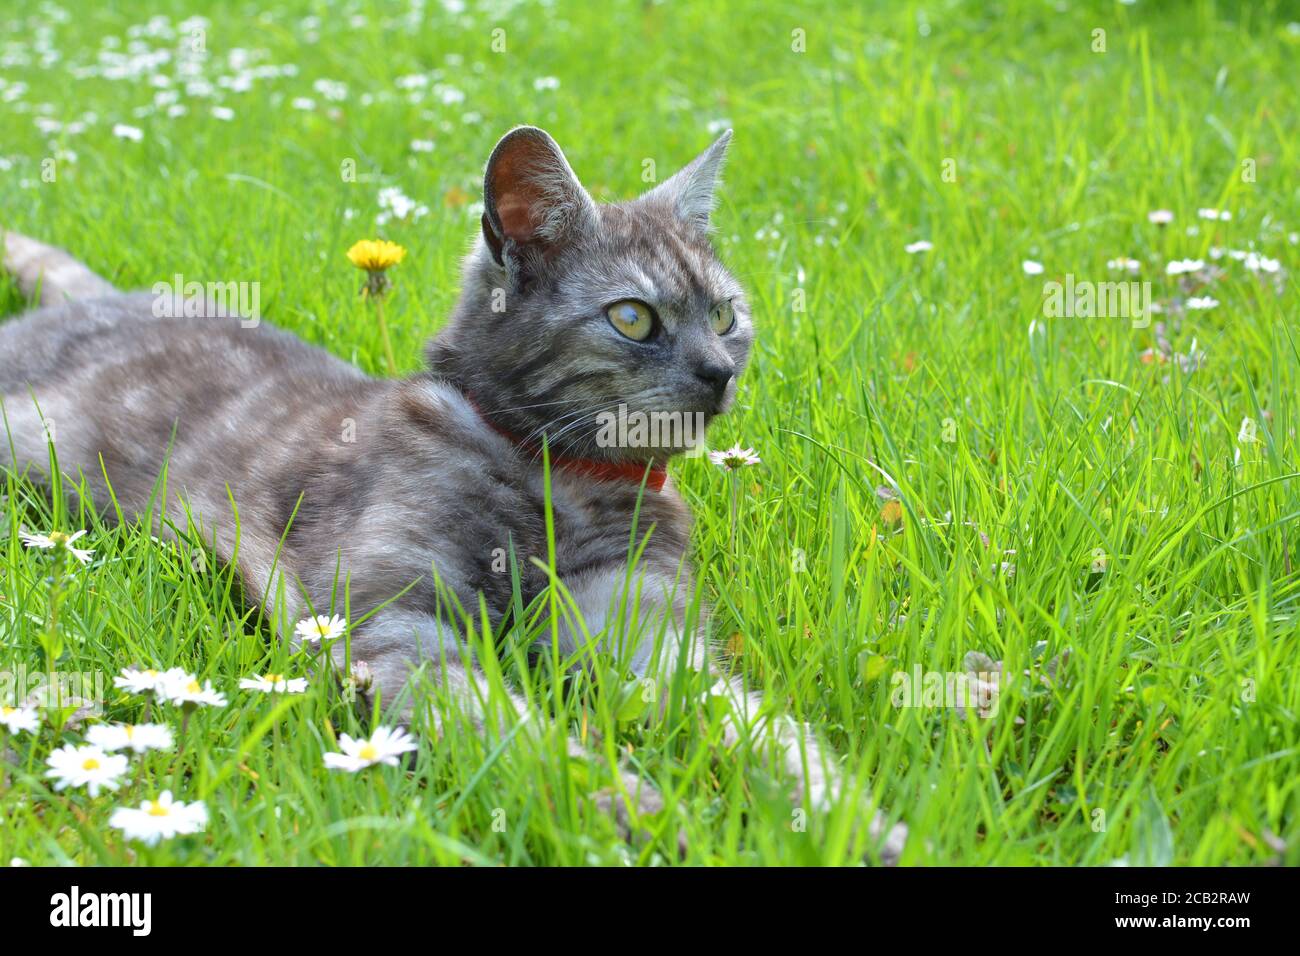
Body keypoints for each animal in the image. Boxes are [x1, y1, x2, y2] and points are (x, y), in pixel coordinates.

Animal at [2, 123, 904, 863]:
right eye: (634, 319)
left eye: (724, 316)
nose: (719, 372)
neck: (559, 485)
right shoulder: (404, 634)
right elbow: (534, 744)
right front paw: (646, 818)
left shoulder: (652, 638)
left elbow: (771, 736)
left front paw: (854, 824)